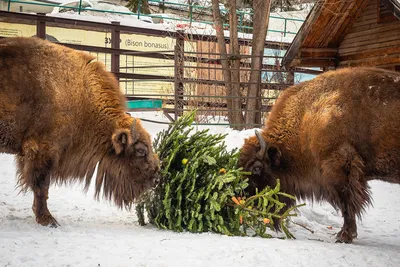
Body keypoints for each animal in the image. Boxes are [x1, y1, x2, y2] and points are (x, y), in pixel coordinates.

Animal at [0, 37, 159, 228]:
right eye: (141, 150)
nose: (157, 175)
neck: (81, 94)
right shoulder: (44, 150)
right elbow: (41, 186)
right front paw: (48, 219)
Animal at [239, 68, 400, 244]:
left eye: (257, 167)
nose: (240, 196)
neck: (306, 120)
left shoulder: (340, 169)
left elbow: (347, 202)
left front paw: (344, 235)